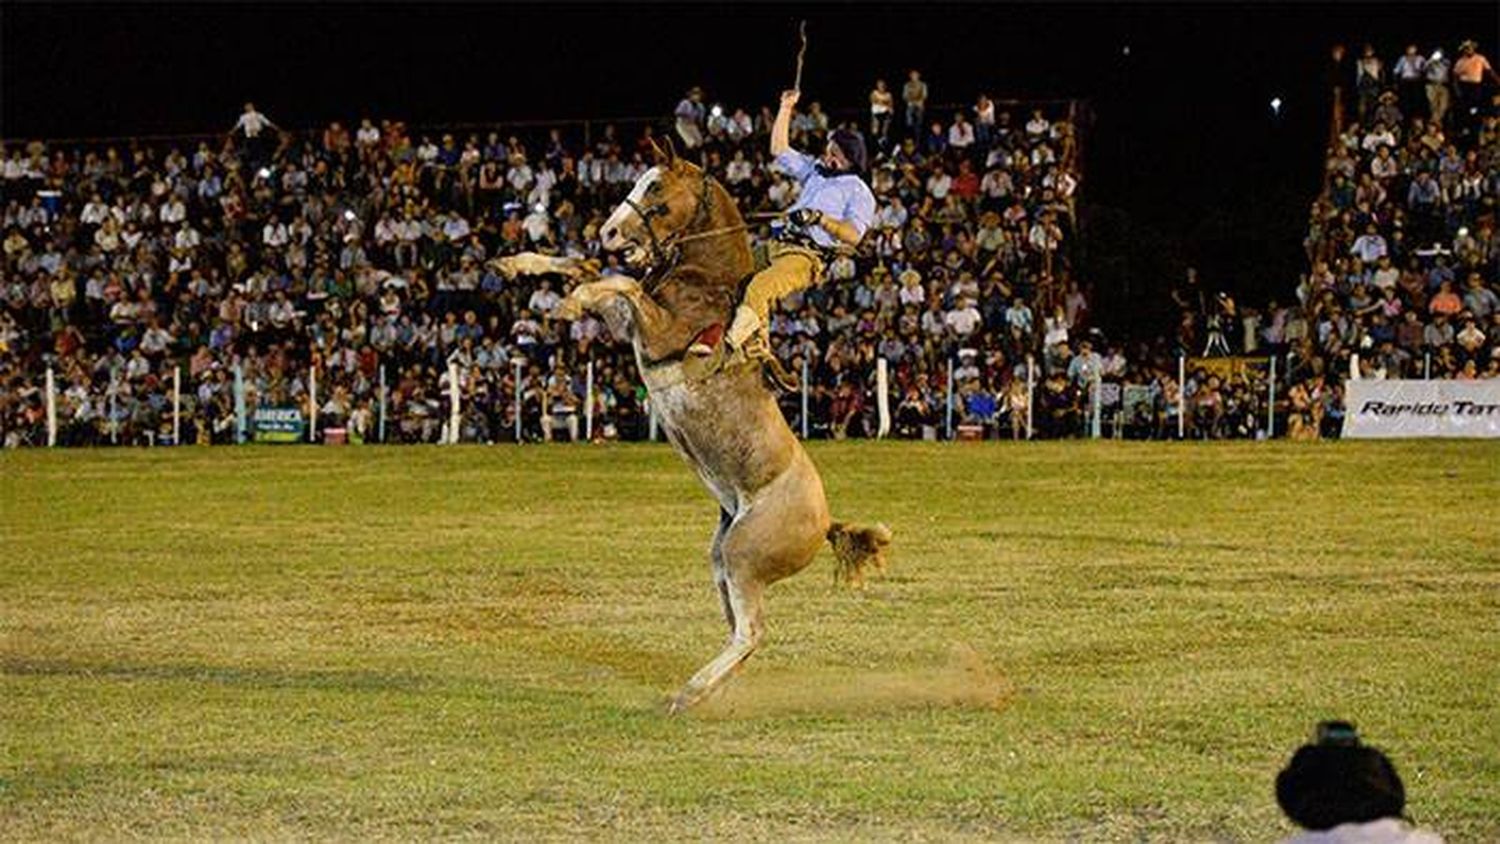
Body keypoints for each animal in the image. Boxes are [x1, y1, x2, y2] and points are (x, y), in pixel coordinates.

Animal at [501, 141, 888, 716]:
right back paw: (712, 692)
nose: (609, 232)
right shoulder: (628, 323)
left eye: (656, 187)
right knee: (740, 633)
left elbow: (617, 281)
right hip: (722, 559)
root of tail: (825, 524)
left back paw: (688, 693)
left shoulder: (657, 332)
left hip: (743, 555)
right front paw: (518, 264)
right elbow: (586, 269)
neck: (705, 284)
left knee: (751, 632)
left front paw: (568, 302)